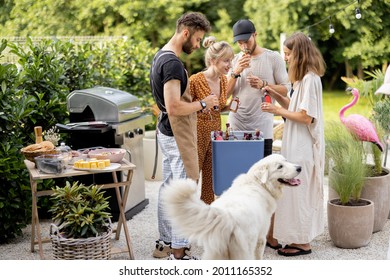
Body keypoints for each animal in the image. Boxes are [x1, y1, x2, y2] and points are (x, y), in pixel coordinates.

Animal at [161, 153, 302, 260]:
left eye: (286, 161)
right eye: (280, 166)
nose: (299, 168)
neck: (259, 184)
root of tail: (226, 215)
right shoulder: (261, 239)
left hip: (215, 253)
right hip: (244, 251)